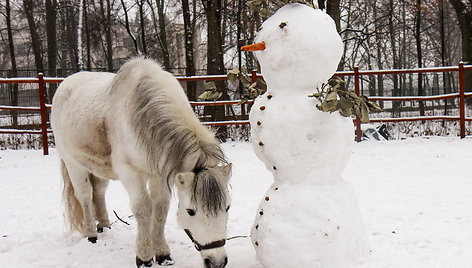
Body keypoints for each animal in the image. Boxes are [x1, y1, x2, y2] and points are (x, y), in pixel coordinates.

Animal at [51, 57, 232, 266]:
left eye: (227, 207)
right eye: (190, 211)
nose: (217, 261)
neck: (142, 114)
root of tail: (65, 84)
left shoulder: (160, 175)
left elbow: (160, 210)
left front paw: (162, 253)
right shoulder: (130, 173)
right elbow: (143, 209)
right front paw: (144, 257)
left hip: (98, 168)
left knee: (99, 193)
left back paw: (104, 226)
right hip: (74, 164)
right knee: (85, 196)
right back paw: (91, 235)